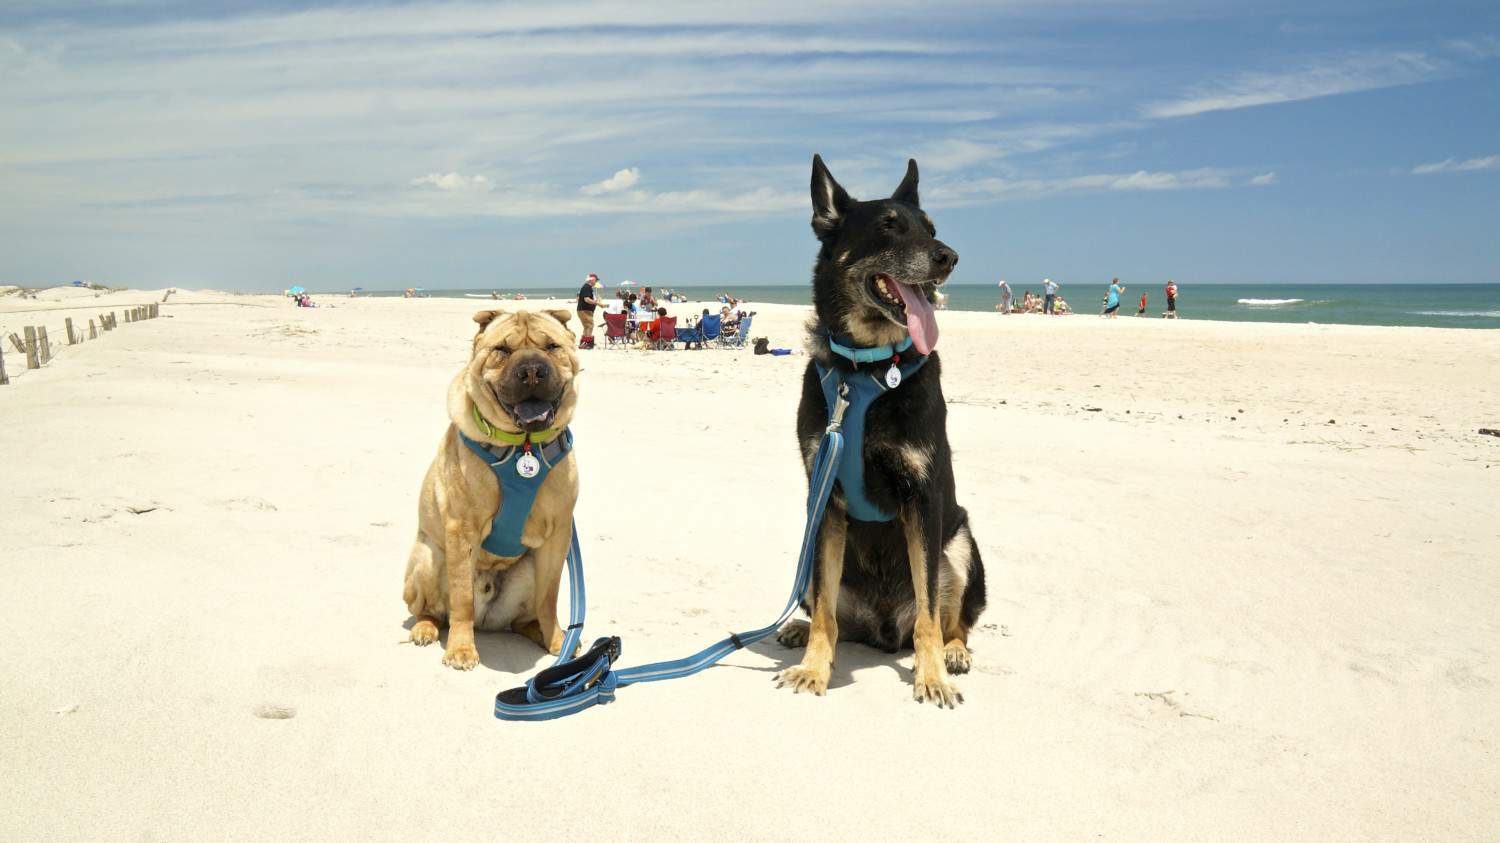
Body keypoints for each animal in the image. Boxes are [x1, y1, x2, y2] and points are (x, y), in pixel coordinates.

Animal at [780, 154, 990, 705]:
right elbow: (825, 613)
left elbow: (929, 616)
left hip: (961, 543)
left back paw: (954, 653)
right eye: (888, 227)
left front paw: (931, 675)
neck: (866, 370)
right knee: (826, 609)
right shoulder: (824, 500)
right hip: (808, 548)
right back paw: (796, 629)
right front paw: (815, 667)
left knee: (952, 618)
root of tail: (881, 628)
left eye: (931, 229)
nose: (948, 257)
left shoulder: (923, 500)